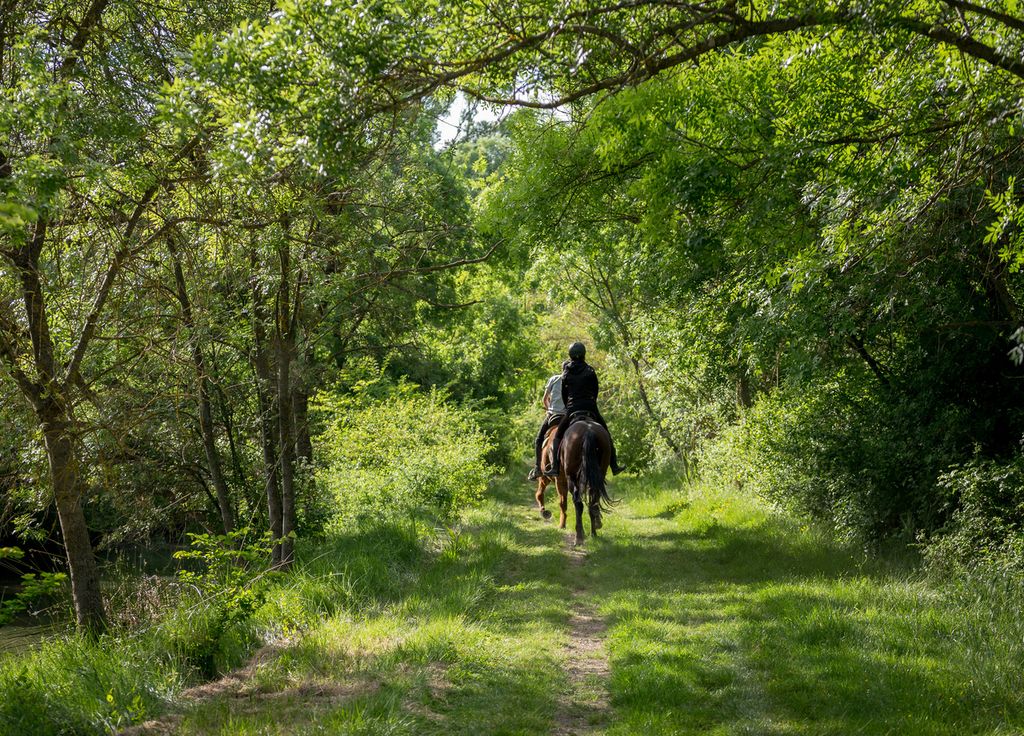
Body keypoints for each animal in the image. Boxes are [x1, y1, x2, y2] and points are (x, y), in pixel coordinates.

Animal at [535, 413, 614, 545]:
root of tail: (588, 431)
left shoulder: (554, 479)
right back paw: (594, 533)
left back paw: (579, 537)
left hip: (569, 478)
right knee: (593, 501)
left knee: (577, 503)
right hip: (598, 474)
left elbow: (552, 499)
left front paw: (555, 520)